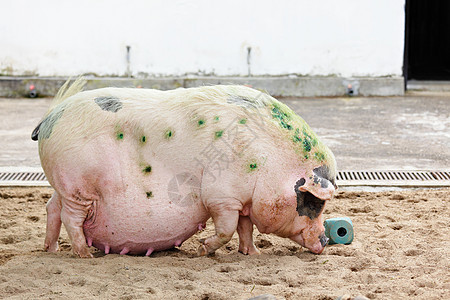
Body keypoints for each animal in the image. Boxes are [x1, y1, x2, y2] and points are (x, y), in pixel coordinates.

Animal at [31, 78, 336, 258]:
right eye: (314, 202)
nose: (326, 240)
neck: (269, 160)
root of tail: (49, 117)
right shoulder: (221, 196)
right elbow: (227, 228)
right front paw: (202, 250)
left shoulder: (244, 199)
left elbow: (245, 227)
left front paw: (251, 254)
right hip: (79, 187)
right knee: (71, 218)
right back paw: (85, 254)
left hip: (64, 186)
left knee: (51, 208)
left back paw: (50, 249)